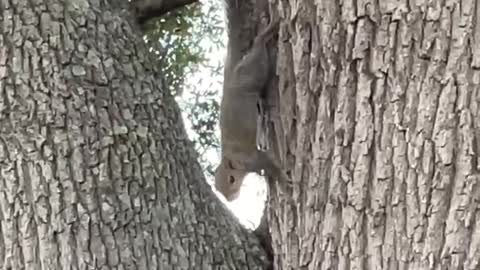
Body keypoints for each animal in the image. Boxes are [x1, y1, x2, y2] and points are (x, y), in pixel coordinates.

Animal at [216, 0, 290, 201]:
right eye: (218, 190)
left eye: (231, 179)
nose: (230, 199)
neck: (235, 158)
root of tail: (232, 75)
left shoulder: (253, 157)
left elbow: (269, 162)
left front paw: (283, 180)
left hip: (254, 70)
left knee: (258, 43)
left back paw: (269, 29)